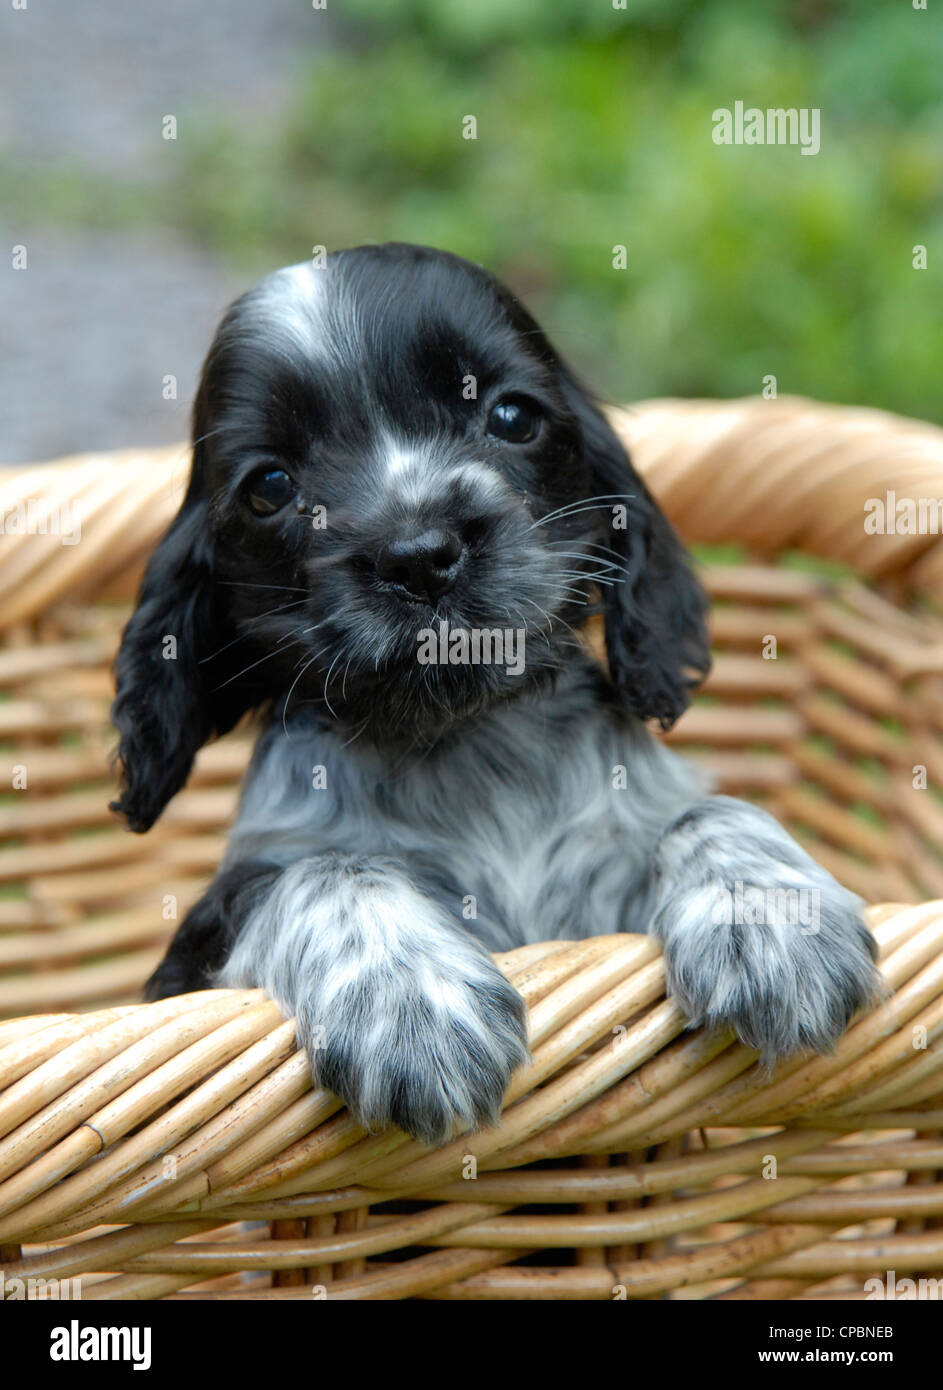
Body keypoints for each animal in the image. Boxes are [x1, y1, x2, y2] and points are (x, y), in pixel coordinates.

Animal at [112, 244, 884, 1145]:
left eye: (512, 416)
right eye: (269, 485)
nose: (418, 555)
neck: (471, 742)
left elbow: (702, 810)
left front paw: (769, 922)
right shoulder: (204, 943)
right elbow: (327, 870)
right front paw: (410, 1007)